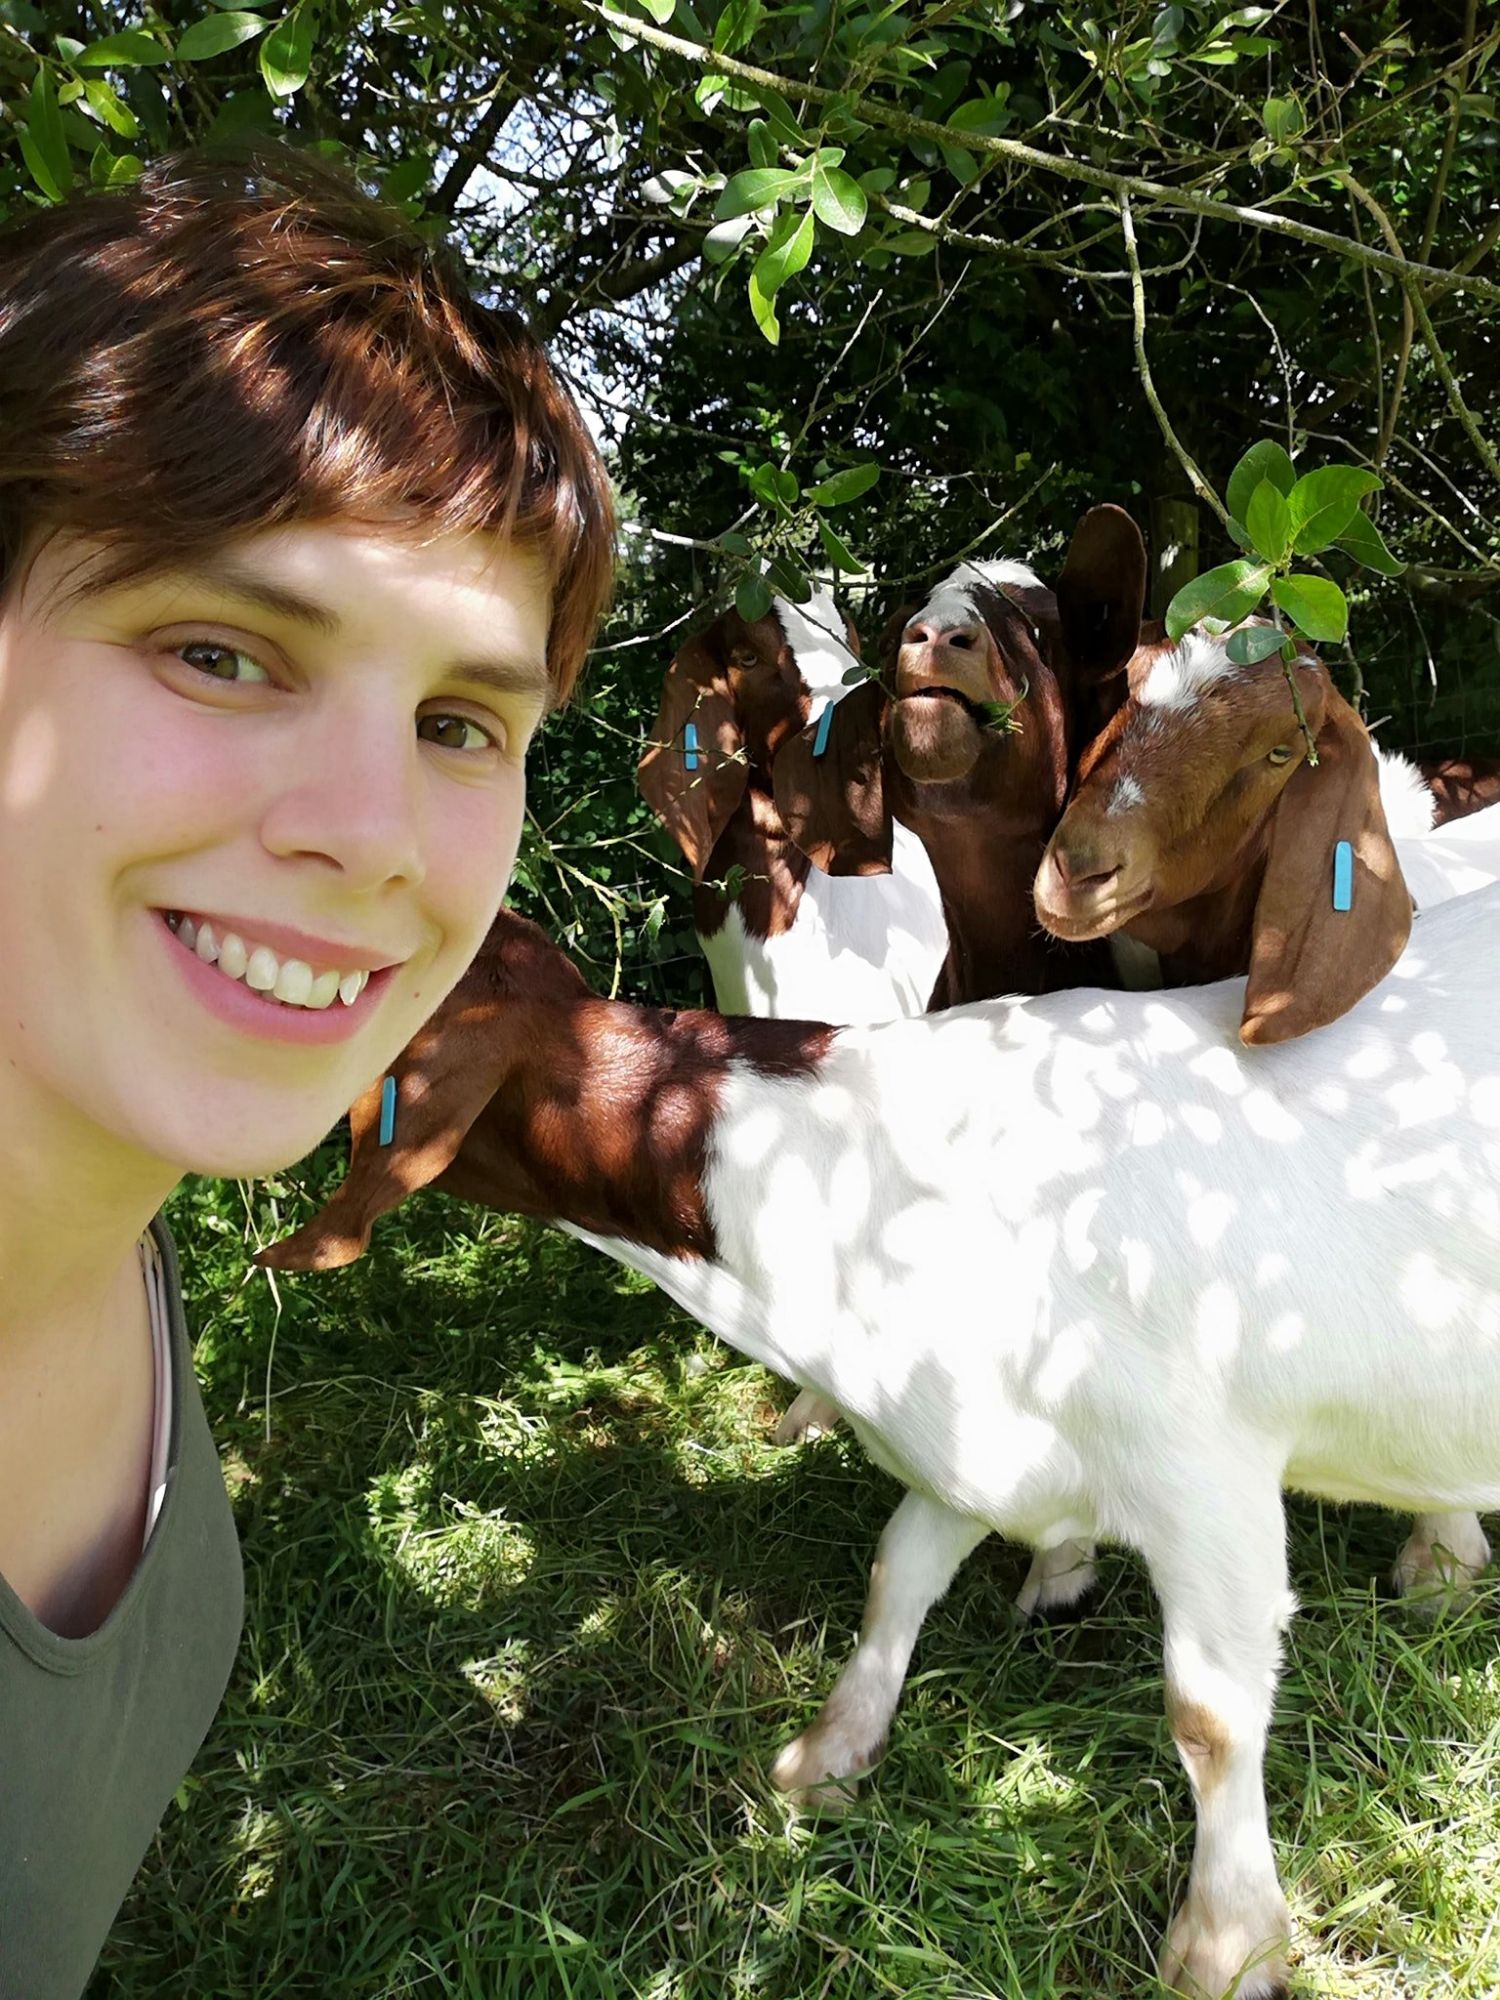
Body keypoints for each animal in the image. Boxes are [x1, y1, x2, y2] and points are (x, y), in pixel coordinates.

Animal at [264, 888, 1500, 2000]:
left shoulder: (1205, 1476)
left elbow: (1211, 1717)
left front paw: (1227, 1941)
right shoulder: (969, 1430)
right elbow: (895, 1574)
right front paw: (827, 1758)